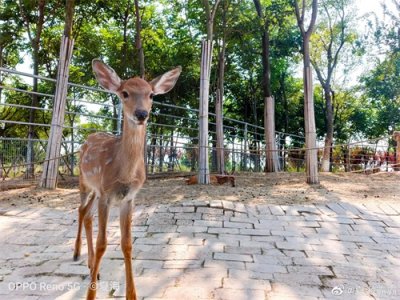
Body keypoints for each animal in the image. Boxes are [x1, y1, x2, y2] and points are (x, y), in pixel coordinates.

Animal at [72, 59, 182, 300]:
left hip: (95, 191)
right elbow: (103, 244)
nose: (141, 113)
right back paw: (78, 255)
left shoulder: (128, 198)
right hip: (84, 182)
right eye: (125, 93)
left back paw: (91, 266)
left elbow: (127, 244)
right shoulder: (106, 194)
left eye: (151, 94)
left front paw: (132, 294)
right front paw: (90, 295)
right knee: (81, 210)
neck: (124, 173)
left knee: (87, 215)